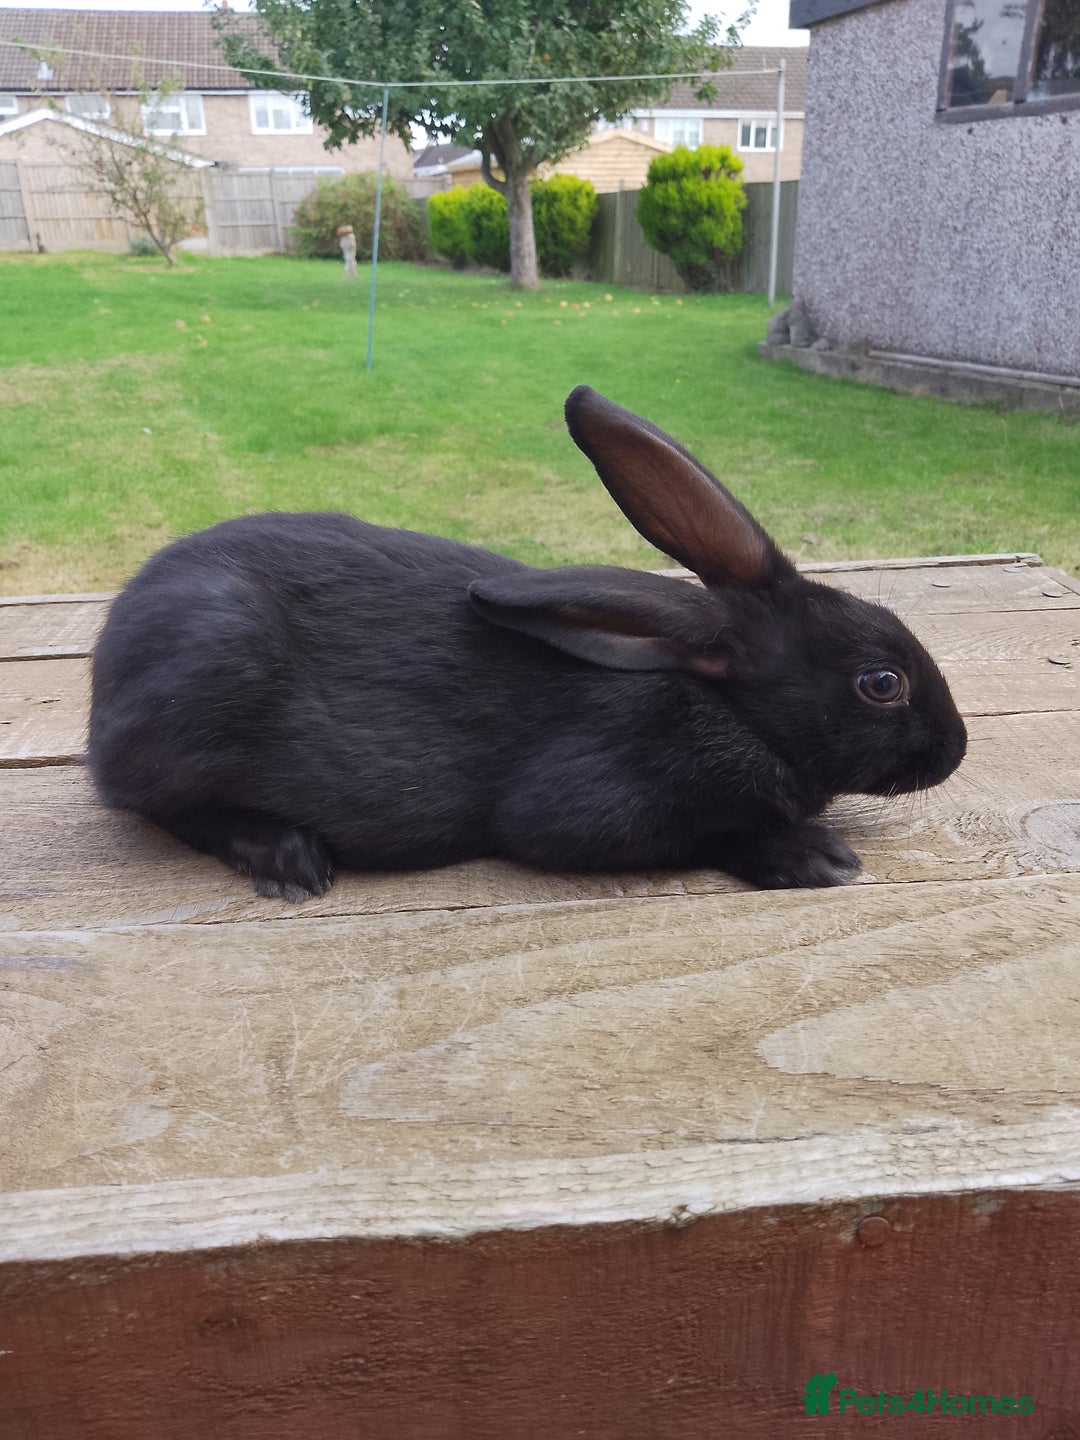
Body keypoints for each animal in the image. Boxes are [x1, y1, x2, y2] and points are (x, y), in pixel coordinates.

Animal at [87, 385, 967, 900]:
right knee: (159, 803)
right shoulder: (586, 805)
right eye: (881, 682)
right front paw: (816, 858)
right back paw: (286, 857)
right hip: (206, 675)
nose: (954, 750)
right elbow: (710, 833)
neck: (717, 696)